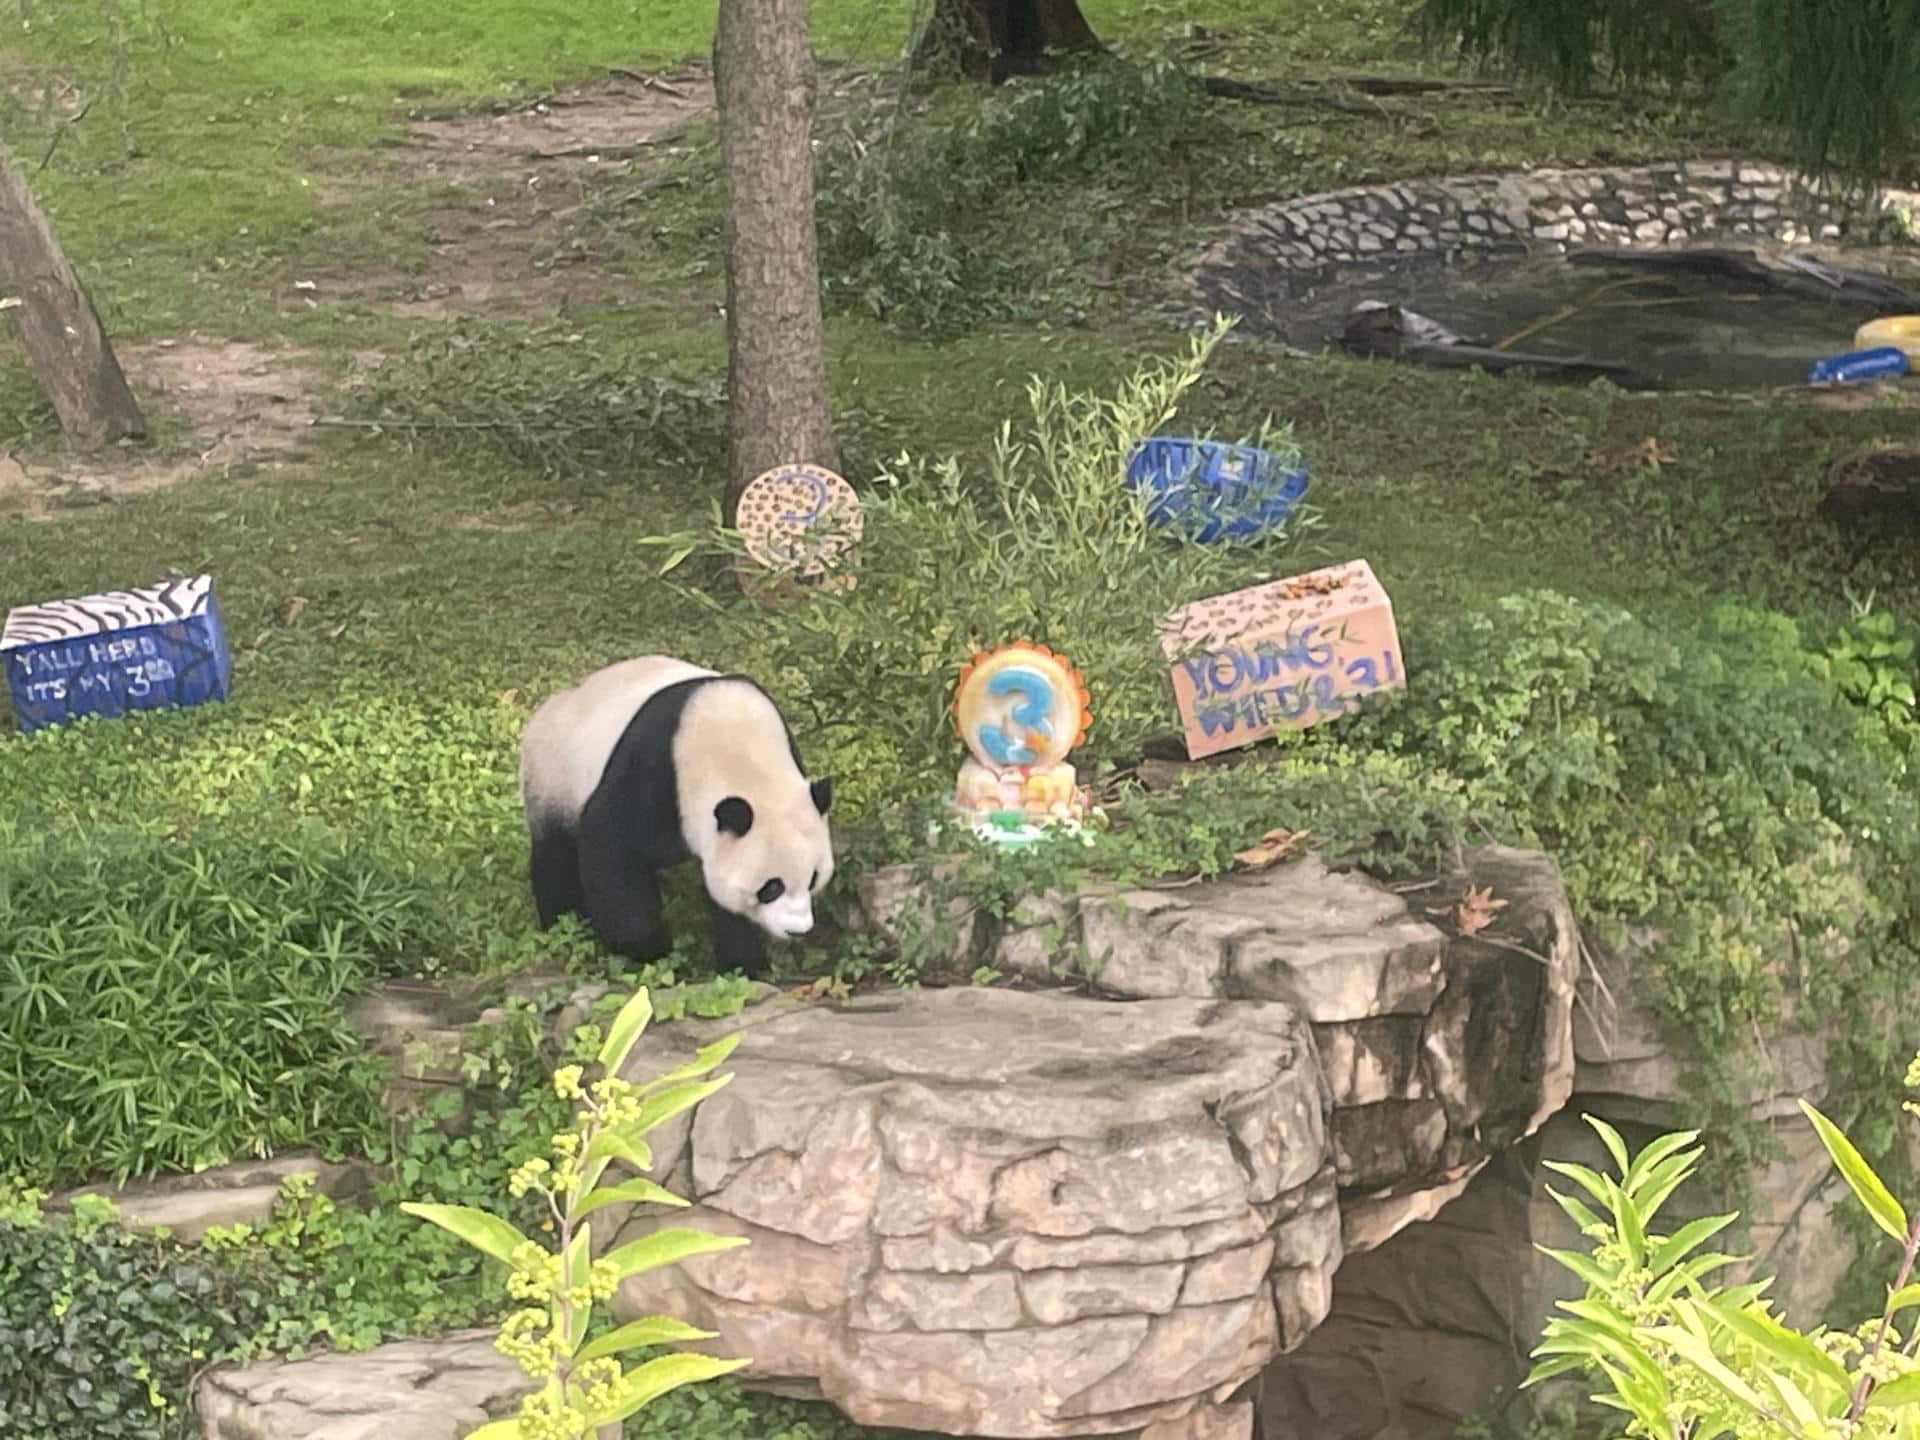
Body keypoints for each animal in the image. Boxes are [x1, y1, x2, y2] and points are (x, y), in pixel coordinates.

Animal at [518, 656, 833, 983]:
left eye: (813, 878)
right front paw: (651, 949)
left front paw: (744, 964)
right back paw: (564, 922)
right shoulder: (653, 772)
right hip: (553, 774)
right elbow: (610, 846)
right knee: (555, 854)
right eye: (771, 887)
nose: (797, 930)